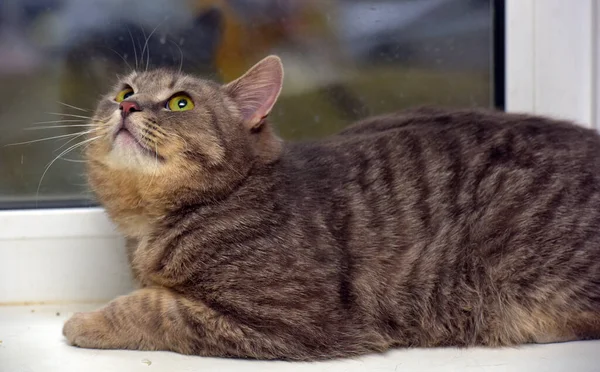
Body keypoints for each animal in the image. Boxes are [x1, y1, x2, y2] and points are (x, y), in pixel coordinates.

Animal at [61, 56, 600, 360]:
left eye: (180, 103)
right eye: (126, 91)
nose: (127, 106)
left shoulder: (290, 320)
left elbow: (156, 309)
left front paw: (86, 322)